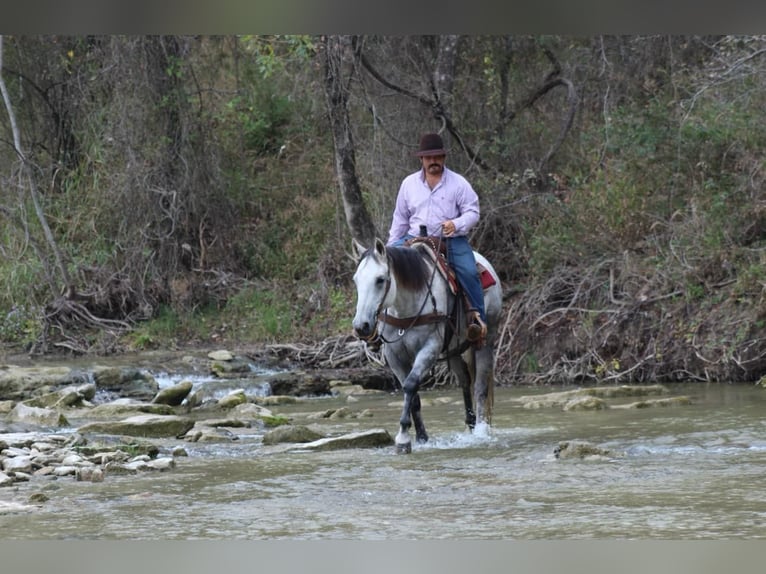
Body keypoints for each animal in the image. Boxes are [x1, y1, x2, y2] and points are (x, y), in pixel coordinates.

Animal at [352, 238, 504, 454]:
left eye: (380, 279)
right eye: (356, 280)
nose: (361, 326)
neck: (405, 309)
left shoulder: (429, 349)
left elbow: (410, 385)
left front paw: (403, 438)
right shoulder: (395, 357)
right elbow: (413, 395)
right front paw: (421, 437)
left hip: (486, 340)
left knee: (480, 387)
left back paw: (481, 432)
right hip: (453, 350)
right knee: (464, 381)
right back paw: (471, 423)